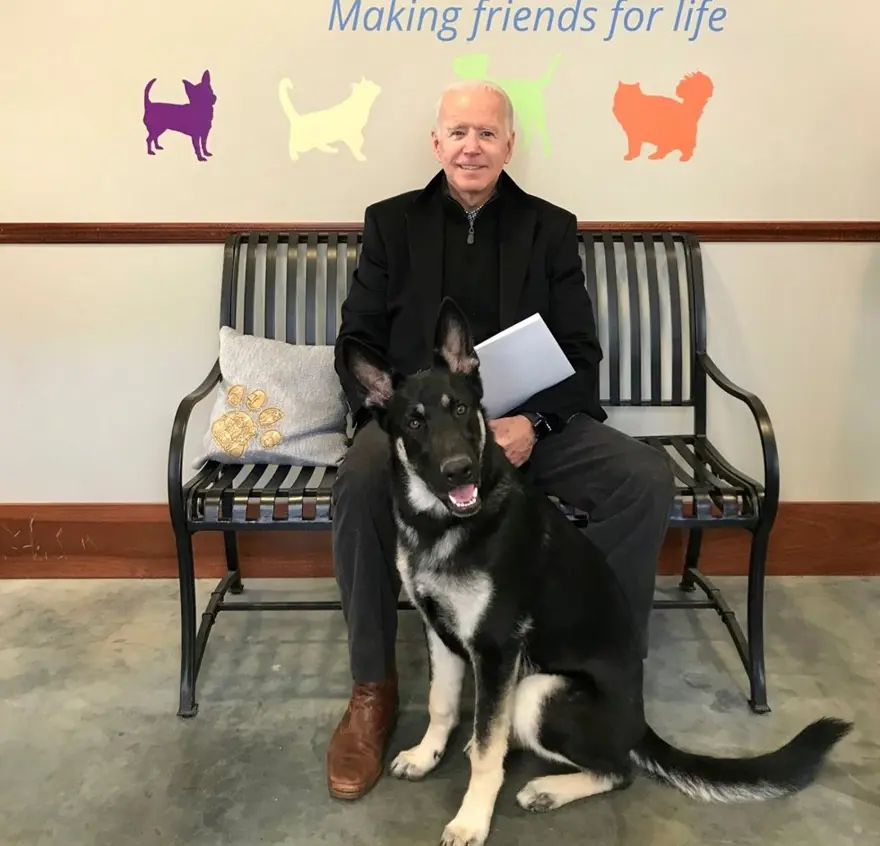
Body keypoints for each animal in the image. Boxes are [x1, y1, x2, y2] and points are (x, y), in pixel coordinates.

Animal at [341, 298, 852, 846]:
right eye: (414, 424)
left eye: (460, 409)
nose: (461, 471)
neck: (441, 523)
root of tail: (639, 722)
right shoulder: (439, 631)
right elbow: (442, 704)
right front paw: (426, 755)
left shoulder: (496, 650)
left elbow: (487, 749)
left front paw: (472, 817)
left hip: (537, 692)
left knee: (617, 770)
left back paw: (548, 788)